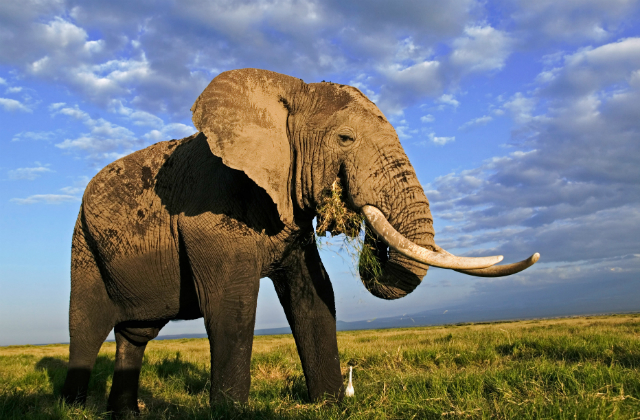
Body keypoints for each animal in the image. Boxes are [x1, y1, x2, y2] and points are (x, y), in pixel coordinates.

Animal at [61, 68, 540, 414]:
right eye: (345, 139)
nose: (349, 202)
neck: (284, 92)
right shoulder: (211, 208)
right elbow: (232, 306)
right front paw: (232, 414)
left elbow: (314, 295)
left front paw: (330, 405)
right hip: (82, 241)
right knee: (86, 325)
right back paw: (72, 410)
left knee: (135, 334)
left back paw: (125, 413)